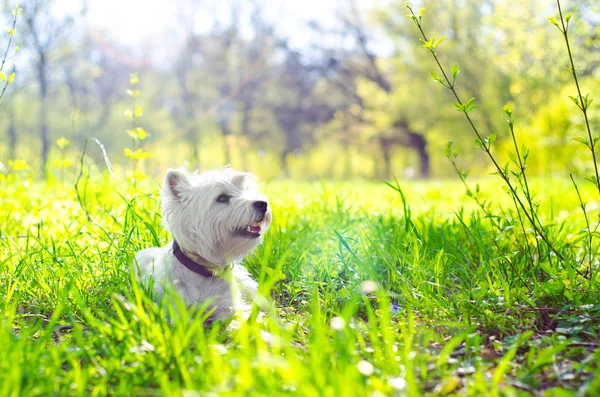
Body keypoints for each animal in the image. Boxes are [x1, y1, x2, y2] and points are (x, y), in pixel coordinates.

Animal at [136, 166, 272, 320]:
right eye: (222, 198)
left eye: (245, 189)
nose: (263, 204)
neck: (205, 271)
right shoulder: (174, 308)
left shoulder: (229, 307)